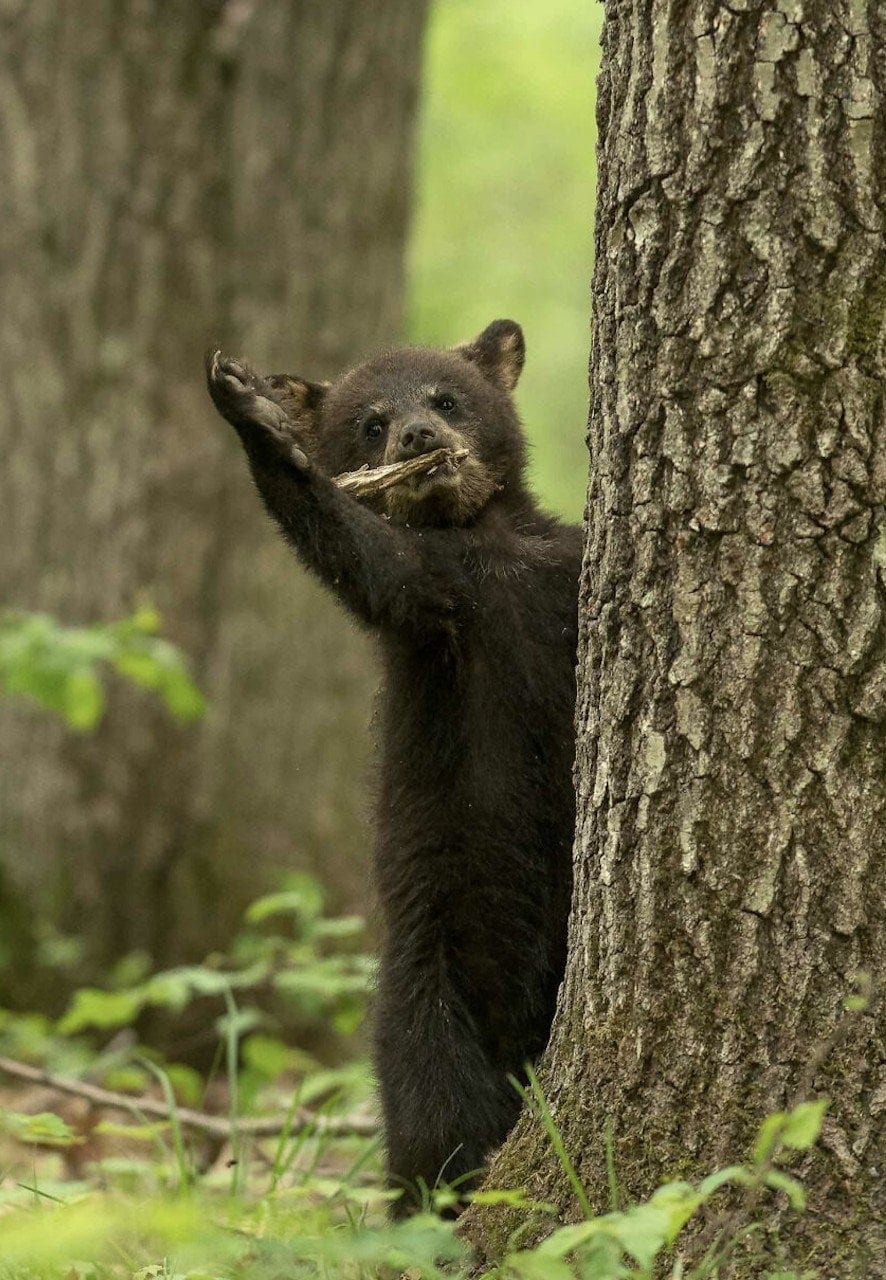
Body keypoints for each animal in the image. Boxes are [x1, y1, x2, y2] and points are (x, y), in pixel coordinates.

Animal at [204, 317, 583, 1208]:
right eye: (371, 421)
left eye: (446, 398)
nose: (418, 437)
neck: (486, 544)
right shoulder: (438, 612)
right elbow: (370, 560)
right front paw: (255, 418)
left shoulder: (556, 577)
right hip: (425, 998)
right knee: (435, 1123)